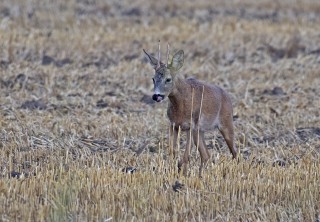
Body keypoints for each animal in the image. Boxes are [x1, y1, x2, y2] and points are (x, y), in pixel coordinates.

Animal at [144, 42, 236, 177]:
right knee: (206, 155)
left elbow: (186, 156)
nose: (156, 96)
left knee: (234, 152)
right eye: (153, 79)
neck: (180, 107)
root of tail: (227, 96)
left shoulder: (190, 125)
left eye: (168, 79)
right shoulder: (173, 125)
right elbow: (172, 151)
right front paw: (174, 171)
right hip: (200, 131)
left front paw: (182, 172)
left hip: (226, 123)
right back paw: (200, 175)